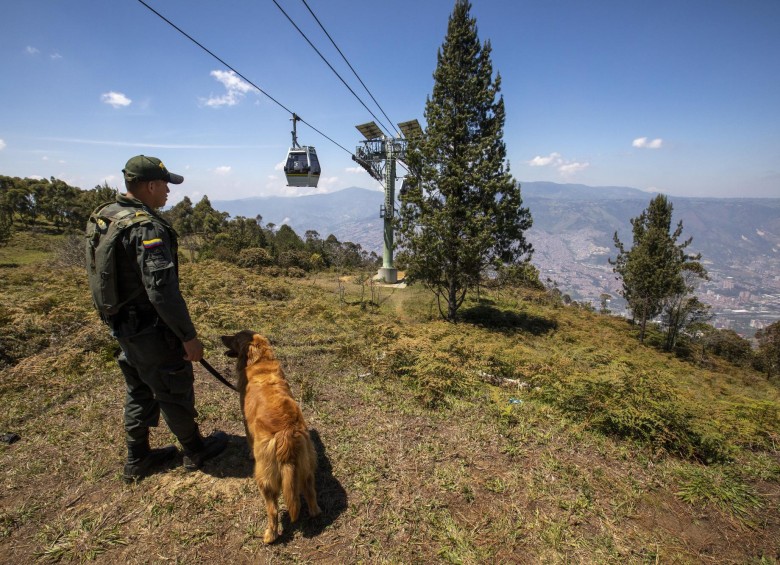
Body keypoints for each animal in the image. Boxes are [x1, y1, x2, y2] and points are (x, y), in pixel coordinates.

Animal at [221, 330, 322, 540]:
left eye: (234, 337)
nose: (221, 337)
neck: (260, 362)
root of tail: (286, 434)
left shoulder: (246, 423)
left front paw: (249, 453)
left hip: (264, 479)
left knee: (273, 510)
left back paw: (270, 536)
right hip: (307, 466)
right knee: (311, 494)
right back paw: (314, 512)